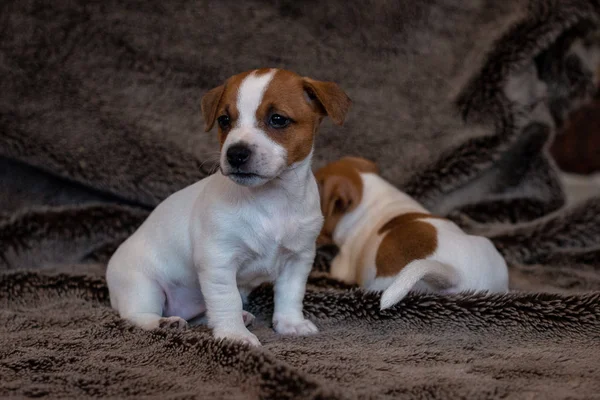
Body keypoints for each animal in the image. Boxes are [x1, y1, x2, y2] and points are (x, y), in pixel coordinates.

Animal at [106, 67, 352, 346]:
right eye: (224, 120)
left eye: (278, 119)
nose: (236, 153)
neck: (271, 199)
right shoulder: (218, 260)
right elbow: (227, 300)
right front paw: (235, 335)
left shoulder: (298, 259)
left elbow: (290, 295)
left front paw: (291, 323)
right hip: (142, 286)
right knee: (136, 315)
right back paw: (164, 322)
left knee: (203, 314)